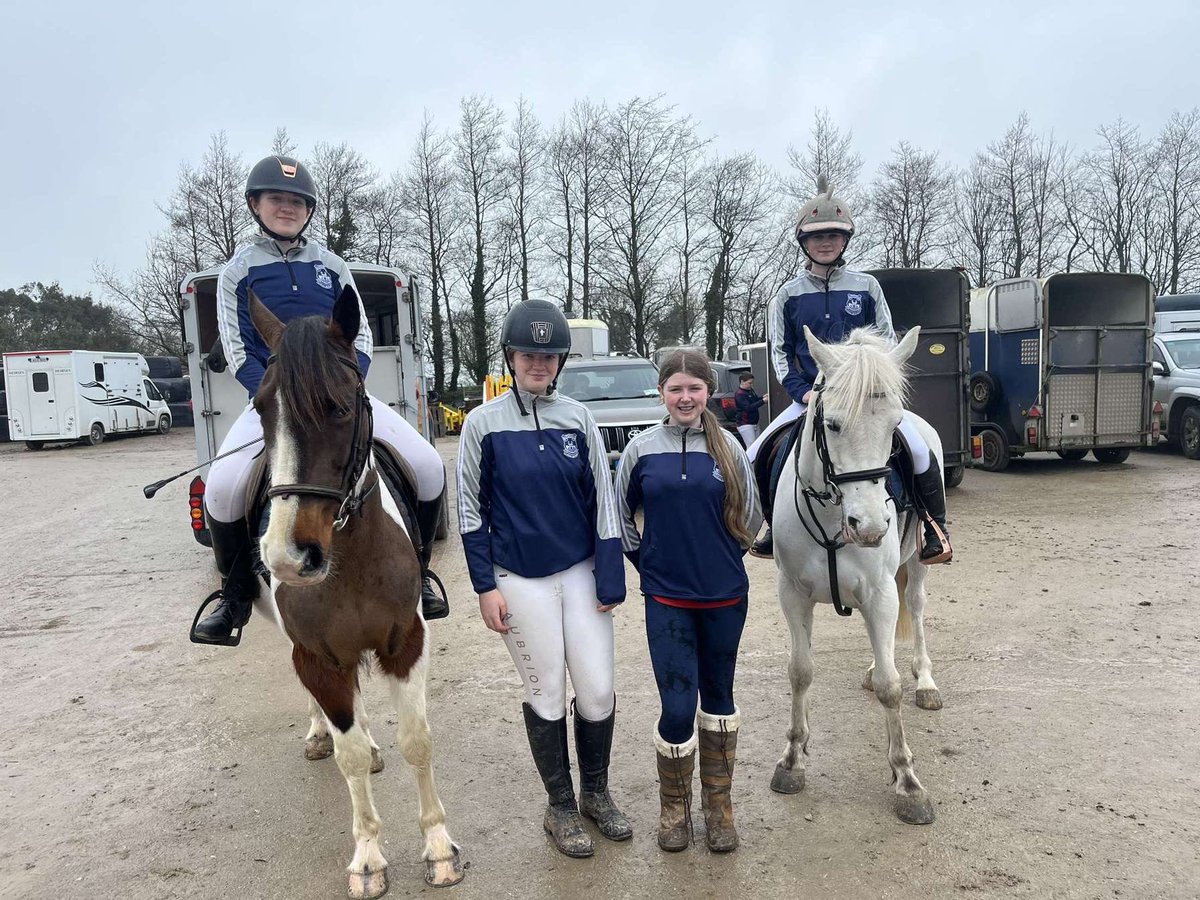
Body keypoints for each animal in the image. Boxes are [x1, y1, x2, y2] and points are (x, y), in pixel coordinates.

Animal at [248, 292, 463, 897]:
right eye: (260, 408)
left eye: (342, 407)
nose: (288, 557)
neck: (349, 559)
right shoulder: (319, 656)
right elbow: (347, 759)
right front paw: (368, 856)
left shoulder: (405, 642)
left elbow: (417, 739)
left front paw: (439, 847)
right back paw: (324, 731)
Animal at [768, 328, 945, 830]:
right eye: (832, 424)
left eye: (893, 425)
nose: (869, 527)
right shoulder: (793, 594)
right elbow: (801, 670)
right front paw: (793, 758)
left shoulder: (881, 593)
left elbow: (891, 687)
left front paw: (907, 782)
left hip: (917, 566)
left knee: (917, 612)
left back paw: (926, 683)